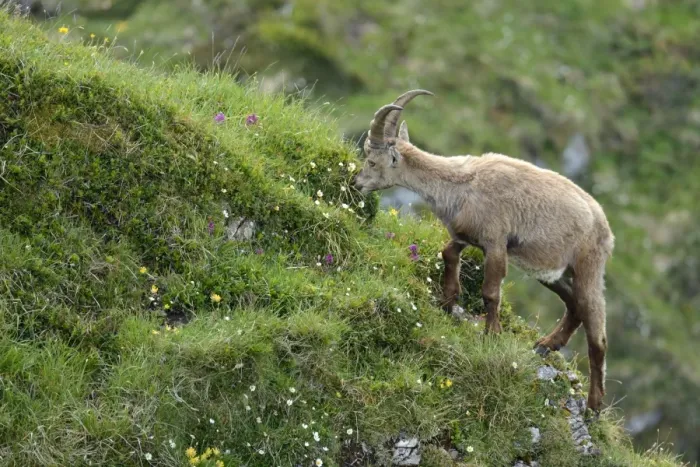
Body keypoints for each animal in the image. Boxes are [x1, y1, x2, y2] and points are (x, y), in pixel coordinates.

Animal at [353, 90, 615, 412]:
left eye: (372, 161)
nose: (356, 182)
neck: (462, 185)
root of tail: (605, 228)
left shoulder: (495, 242)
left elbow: (490, 292)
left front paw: (492, 335)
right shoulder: (465, 236)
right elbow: (448, 253)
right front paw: (448, 300)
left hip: (588, 266)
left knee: (597, 333)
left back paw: (594, 404)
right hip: (552, 273)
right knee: (574, 306)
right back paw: (545, 346)